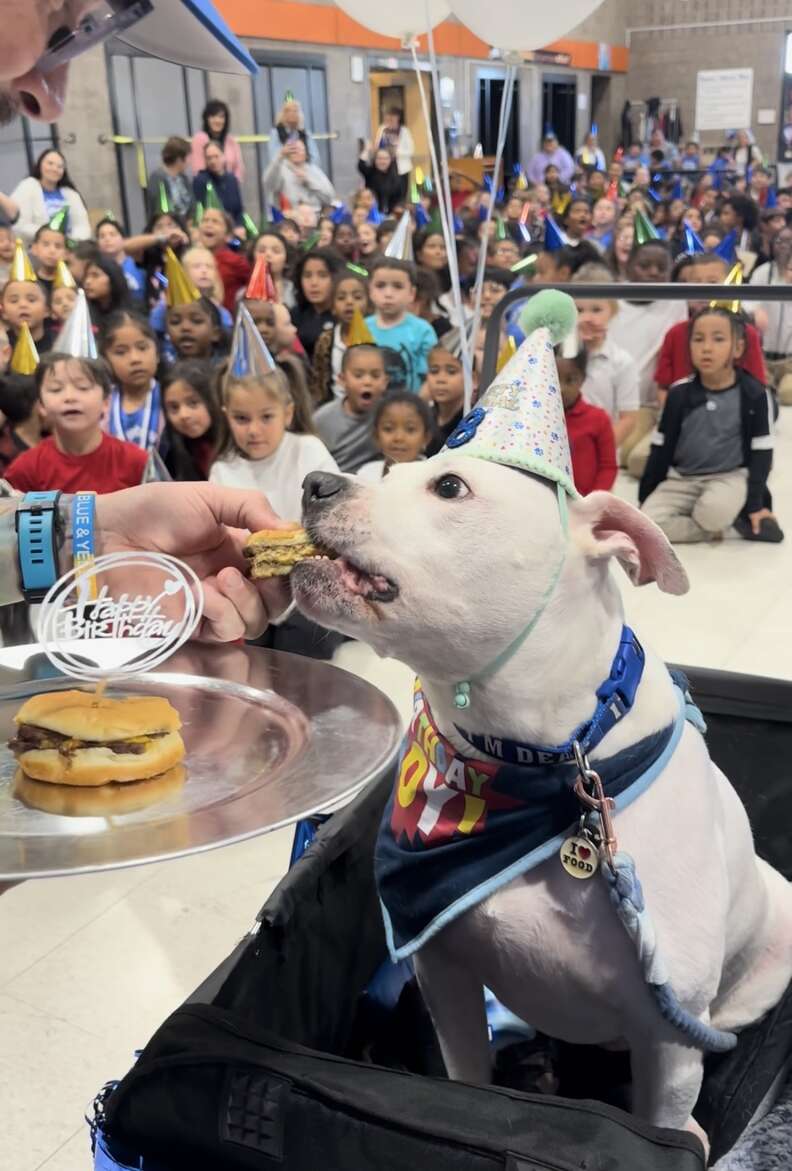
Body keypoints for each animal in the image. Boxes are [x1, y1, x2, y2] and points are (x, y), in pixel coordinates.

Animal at [290, 459, 792, 1142]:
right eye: (389, 469)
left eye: (449, 486)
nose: (315, 482)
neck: (525, 760)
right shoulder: (446, 979)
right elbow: (467, 1075)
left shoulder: (669, 1045)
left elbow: (660, 1123)